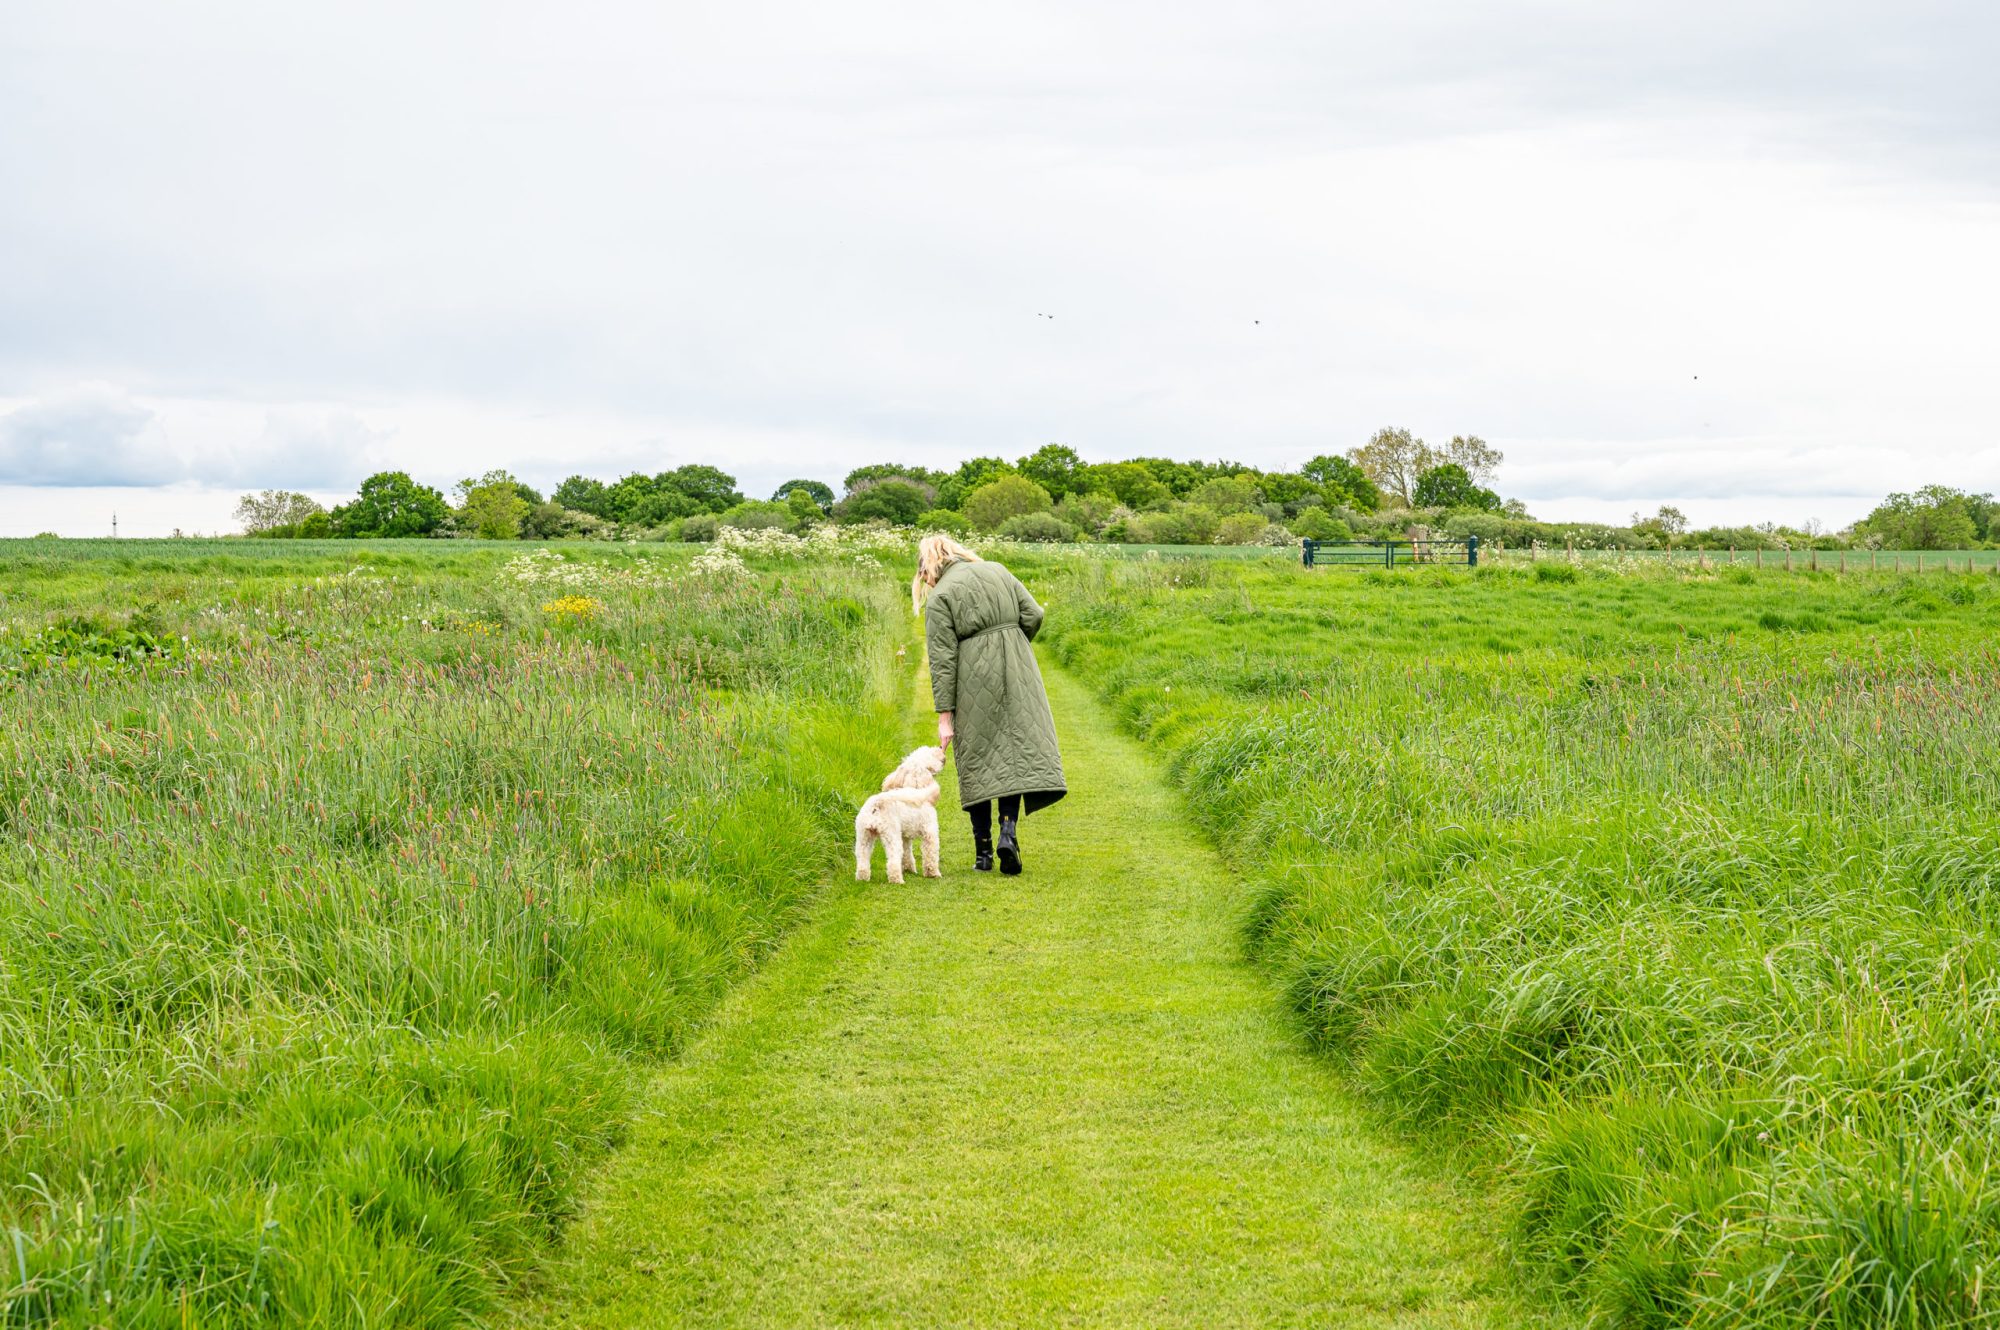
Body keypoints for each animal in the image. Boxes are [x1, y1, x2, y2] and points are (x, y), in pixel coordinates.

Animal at [852, 748, 944, 880]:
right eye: (930, 754)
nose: (941, 750)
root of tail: (877, 804)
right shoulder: (929, 831)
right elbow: (930, 854)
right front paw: (933, 873)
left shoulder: (904, 836)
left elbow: (907, 853)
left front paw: (909, 869)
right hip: (891, 836)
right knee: (893, 861)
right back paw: (897, 879)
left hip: (863, 836)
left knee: (862, 859)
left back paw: (862, 878)